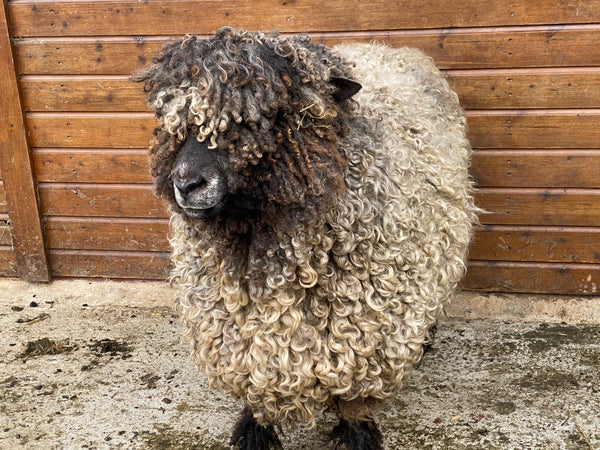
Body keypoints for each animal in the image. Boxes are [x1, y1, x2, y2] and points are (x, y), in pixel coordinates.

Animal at [135, 26, 478, 448]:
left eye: (268, 115)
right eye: (169, 116)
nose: (186, 184)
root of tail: (386, 48)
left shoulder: (366, 327)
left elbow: (353, 395)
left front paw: (356, 434)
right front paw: (255, 429)